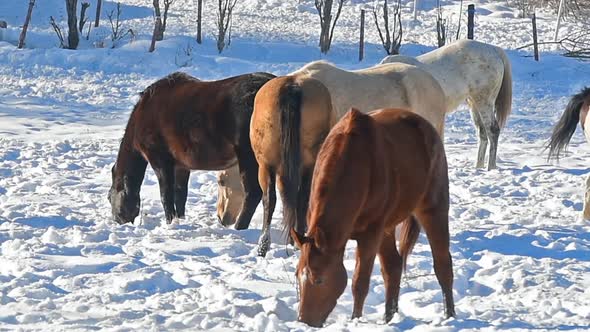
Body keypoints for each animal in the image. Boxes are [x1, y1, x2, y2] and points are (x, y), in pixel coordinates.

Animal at [108, 71, 276, 227]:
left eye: (109, 197)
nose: (117, 220)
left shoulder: (160, 161)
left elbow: (166, 196)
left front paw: (170, 222)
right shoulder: (181, 166)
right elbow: (180, 196)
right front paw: (180, 220)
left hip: (248, 157)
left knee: (253, 193)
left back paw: (240, 227)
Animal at [294, 107, 456, 326]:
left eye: (318, 279)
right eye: (297, 275)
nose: (304, 322)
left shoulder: (370, 235)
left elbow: (359, 283)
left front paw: (355, 320)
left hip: (433, 210)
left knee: (443, 265)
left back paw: (450, 315)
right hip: (387, 228)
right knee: (393, 267)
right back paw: (389, 317)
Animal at [380, 38, 512, 170]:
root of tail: (493, 49)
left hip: (484, 100)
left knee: (493, 130)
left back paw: (490, 168)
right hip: (474, 103)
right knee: (482, 132)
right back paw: (478, 167)